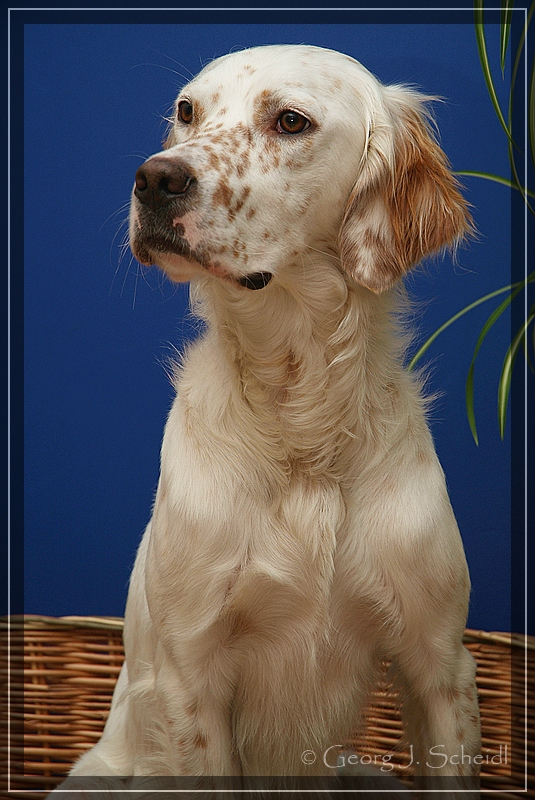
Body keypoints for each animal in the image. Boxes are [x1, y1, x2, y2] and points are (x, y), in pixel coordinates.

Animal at [59, 45, 482, 800]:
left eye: (289, 121)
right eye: (187, 111)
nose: (154, 178)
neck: (300, 424)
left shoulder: (439, 666)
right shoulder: (191, 681)